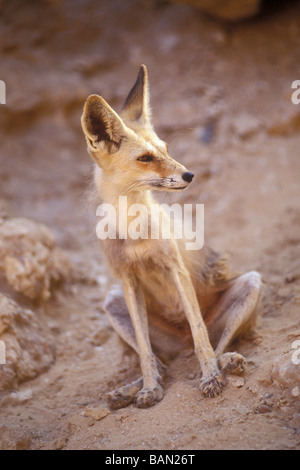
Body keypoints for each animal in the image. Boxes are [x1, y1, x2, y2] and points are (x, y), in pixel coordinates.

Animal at [80, 64, 262, 410]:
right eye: (145, 158)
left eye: (165, 150)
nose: (189, 174)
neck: (134, 231)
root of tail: (180, 343)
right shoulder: (127, 281)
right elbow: (146, 353)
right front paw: (149, 389)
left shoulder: (175, 268)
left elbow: (200, 334)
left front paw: (210, 377)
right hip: (113, 302)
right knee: (160, 361)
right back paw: (129, 389)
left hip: (251, 283)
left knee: (213, 342)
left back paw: (226, 362)